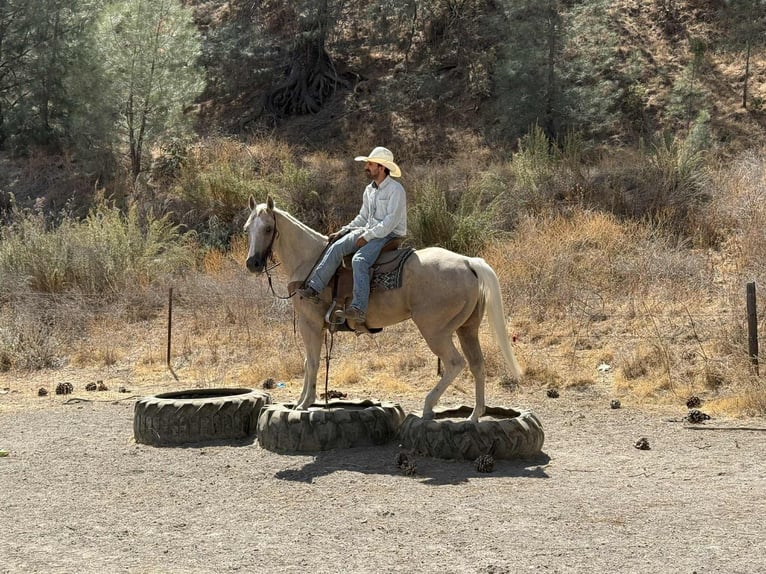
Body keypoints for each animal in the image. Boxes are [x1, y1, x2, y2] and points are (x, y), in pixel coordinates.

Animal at [244, 195, 523, 421]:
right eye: (247, 229)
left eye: (268, 228)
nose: (253, 264)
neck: (311, 262)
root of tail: (468, 262)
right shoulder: (316, 326)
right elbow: (308, 361)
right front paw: (303, 400)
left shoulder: (310, 323)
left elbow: (311, 362)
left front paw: (302, 405)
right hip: (467, 328)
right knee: (477, 365)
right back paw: (475, 416)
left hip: (435, 330)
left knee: (455, 363)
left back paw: (428, 406)